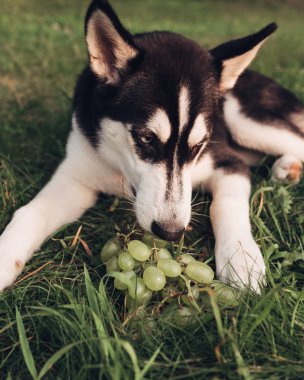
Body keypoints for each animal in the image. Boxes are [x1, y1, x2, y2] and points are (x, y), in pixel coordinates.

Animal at [0, 0, 304, 294]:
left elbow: (224, 205)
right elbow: (31, 212)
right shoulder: (77, 176)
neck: (120, 169)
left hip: (244, 119)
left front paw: (240, 258)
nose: (171, 232)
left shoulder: (228, 162)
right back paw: (285, 168)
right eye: (146, 138)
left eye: (199, 145)